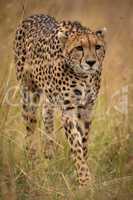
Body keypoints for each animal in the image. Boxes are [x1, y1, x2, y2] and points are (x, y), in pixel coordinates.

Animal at [13, 14, 106, 188]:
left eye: (97, 47)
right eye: (79, 48)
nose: (91, 62)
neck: (84, 76)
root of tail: (35, 15)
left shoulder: (87, 109)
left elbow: (83, 142)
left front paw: (81, 172)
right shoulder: (68, 111)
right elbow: (76, 145)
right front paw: (85, 181)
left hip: (49, 97)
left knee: (47, 114)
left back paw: (49, 151)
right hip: (28, 94)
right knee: (30, 129)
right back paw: (32, 161)